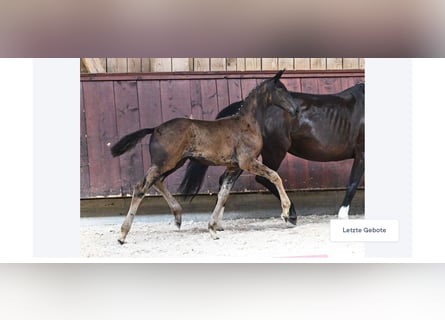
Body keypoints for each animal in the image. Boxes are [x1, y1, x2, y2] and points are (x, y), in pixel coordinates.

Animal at [109, 70, 296, 242]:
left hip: (175, 163)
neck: (247, 124)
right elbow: (274, 176)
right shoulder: (247, 162)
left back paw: (178, 217)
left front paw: (212, 228)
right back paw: (123, 234)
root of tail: (154, 129)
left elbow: (223, 194)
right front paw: (286, 213)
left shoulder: (233, 167)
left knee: (157, 182)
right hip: (165, 163)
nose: (295, 110)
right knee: (140, 187)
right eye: (280, 89)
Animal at [179, 81, 362, 224]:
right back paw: (290, 215)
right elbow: (353, 183)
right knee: (265, 178)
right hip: (274, 152)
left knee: (226, 180)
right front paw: (342, 215)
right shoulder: (362, 154)